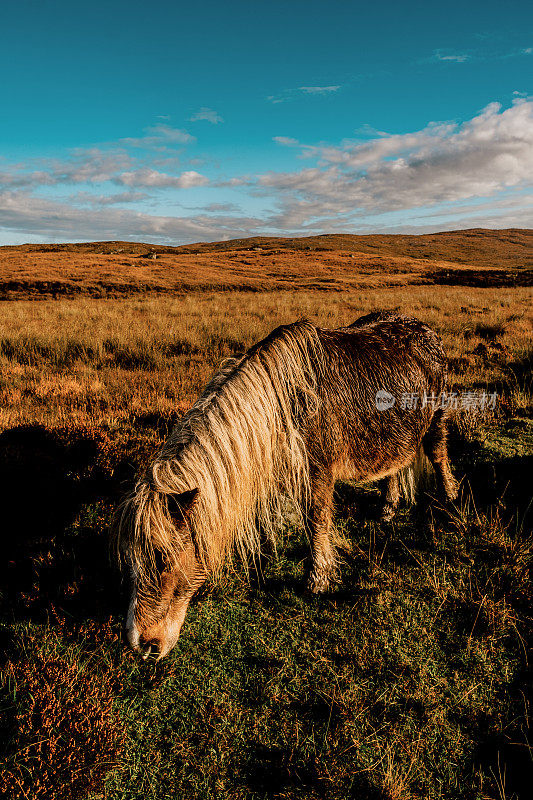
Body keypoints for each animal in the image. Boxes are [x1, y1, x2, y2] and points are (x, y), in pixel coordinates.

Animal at [113, 310, 458, 656]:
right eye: (129, 561)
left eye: (163, 559)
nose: (141, 644)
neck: (280, 408)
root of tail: (424, 328)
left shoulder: (318, 475)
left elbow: (316, 522)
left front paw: (317, 581)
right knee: (392, 467)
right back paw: (387, 509)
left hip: (436, 418)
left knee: (439, 456)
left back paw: (452, 509)